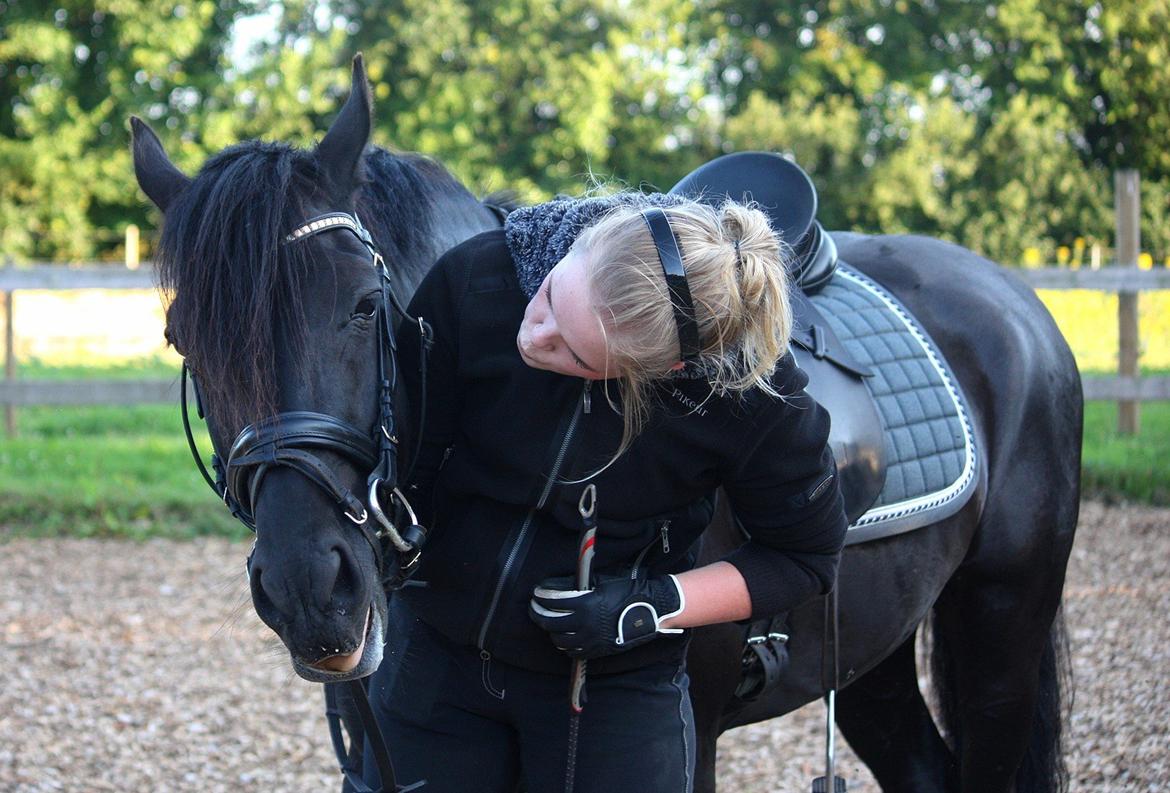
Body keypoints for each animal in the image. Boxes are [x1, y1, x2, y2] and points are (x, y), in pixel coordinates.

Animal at [130, 57, 1076, 793]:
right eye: (184, 339)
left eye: (366, 305)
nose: (307, 588)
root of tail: (1016, 302)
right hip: (875, 652)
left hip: (1000, 627)